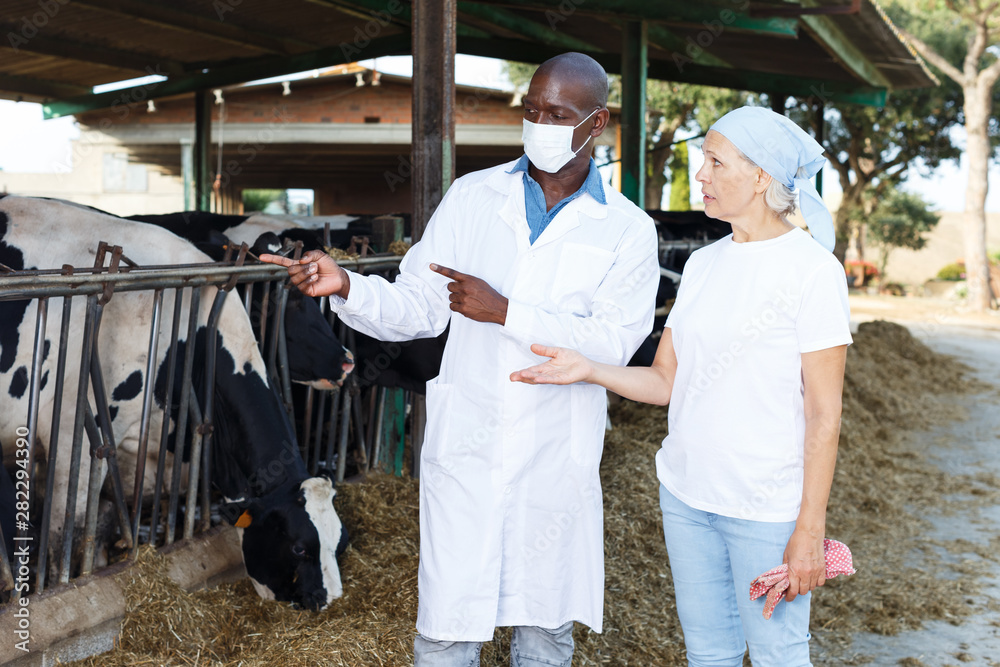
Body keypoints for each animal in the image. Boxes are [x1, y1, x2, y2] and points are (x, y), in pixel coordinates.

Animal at [0, 194, 344, 612]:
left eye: (339, 540)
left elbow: (99, 533)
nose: (330, 599)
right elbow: (65, 537)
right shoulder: (72, 441)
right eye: (298, 548)